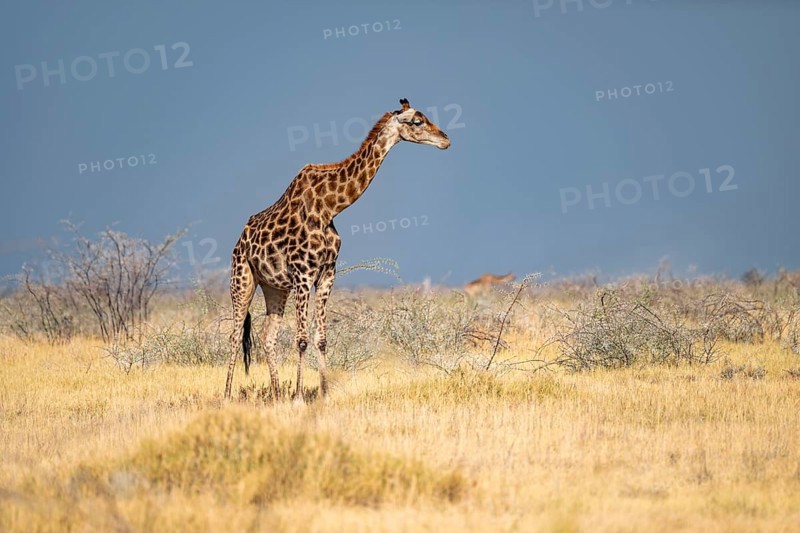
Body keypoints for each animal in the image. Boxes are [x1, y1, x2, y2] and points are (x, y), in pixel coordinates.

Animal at [224, 98, 450, 401]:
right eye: (417, 121)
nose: (445, 140)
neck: (330, 207)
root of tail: (239, 241)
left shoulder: (327, 273)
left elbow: (321, 339)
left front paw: (325, 394)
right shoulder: (303, 274)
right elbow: (302, 339)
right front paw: (299, 398)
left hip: (274, 287)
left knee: (266, 335)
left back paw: (276, 395)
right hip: (243, 279)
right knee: (235, 335)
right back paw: (228, 396)